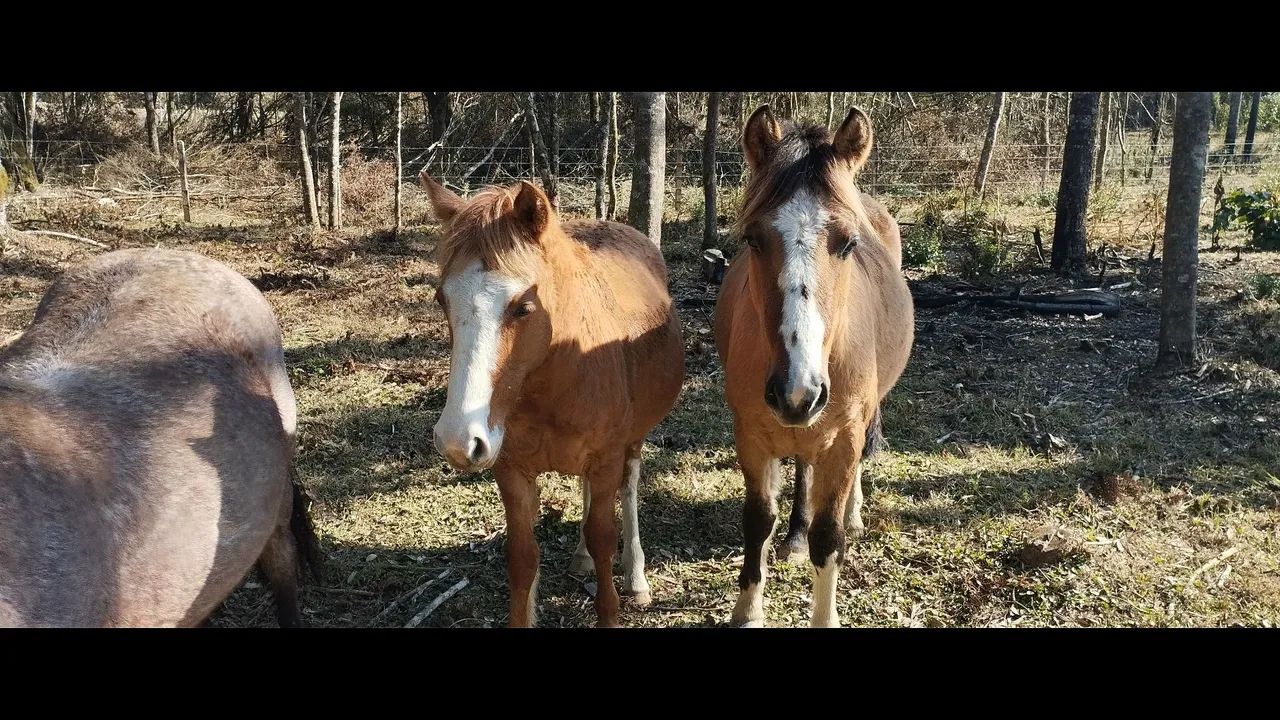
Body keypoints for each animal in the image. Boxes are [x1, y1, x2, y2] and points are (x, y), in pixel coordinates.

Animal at [421, 172, 685, 627]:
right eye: (442, 299)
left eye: (524, 306)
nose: (458, 441)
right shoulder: (511, 472)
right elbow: (523, 558)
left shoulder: (606, 460)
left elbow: (604, 540)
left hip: (633, 440)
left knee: (630, 486)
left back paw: (636, 577)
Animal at [713, 106, 914, 627]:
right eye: (752, 239)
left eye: (848, 243)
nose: (797, 392)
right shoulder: (751, 434)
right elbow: (757, 520)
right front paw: (748, 610)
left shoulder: (843, 437)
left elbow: (829, 536)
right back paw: (795, 534)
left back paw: (853, 514)